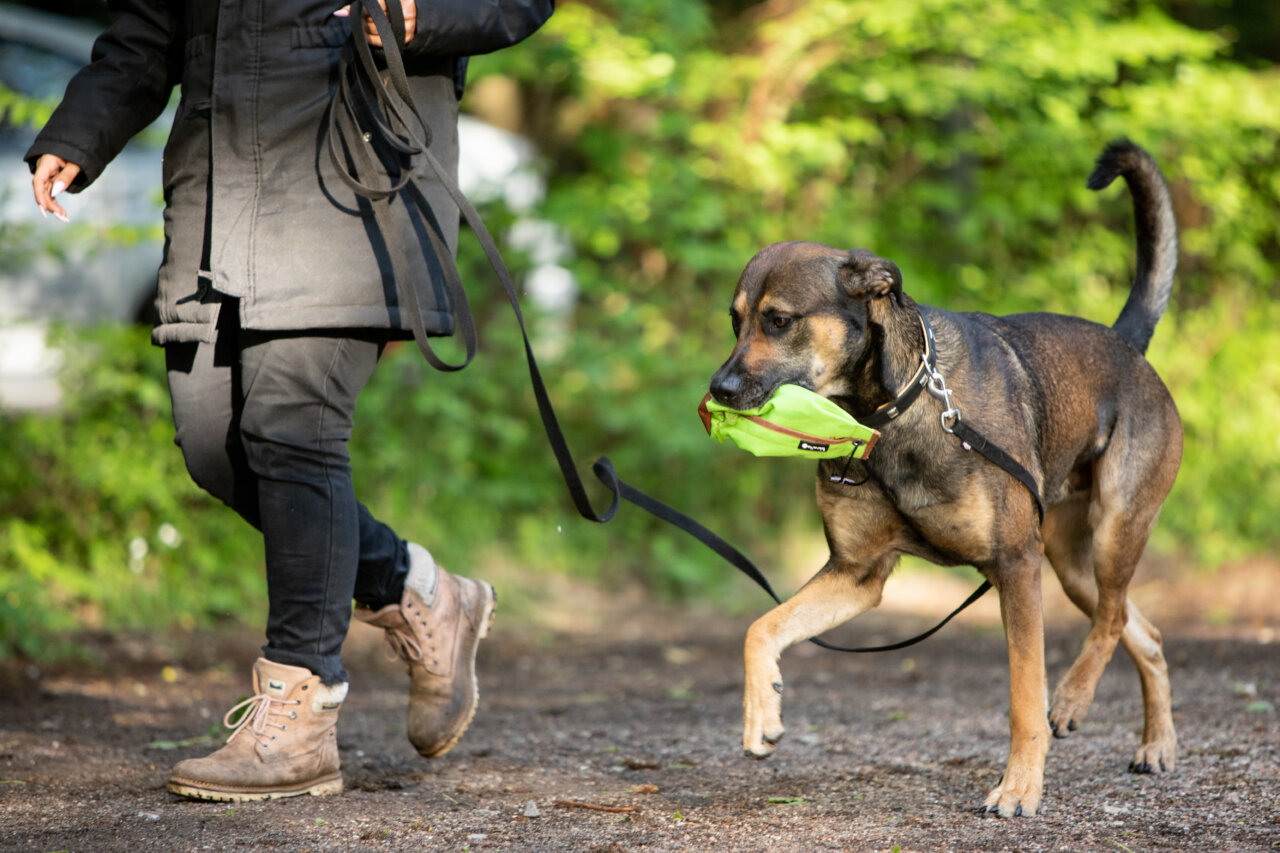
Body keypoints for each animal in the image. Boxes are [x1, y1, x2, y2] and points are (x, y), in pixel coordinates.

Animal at [711, 140, 1177, 819]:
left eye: (778, 321)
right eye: (735, 321)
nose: (718, 390)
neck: (887, 413)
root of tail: (1127, 344)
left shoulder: (1015, 565)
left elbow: (1023, 696)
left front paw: (1020, 787)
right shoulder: (858, 575)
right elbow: (760, 628)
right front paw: (761, 714)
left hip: (1113, 528)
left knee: (1114, 621)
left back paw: (1072, 698)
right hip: (1069, 561)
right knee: (1145, 631)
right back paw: (1157, 744)